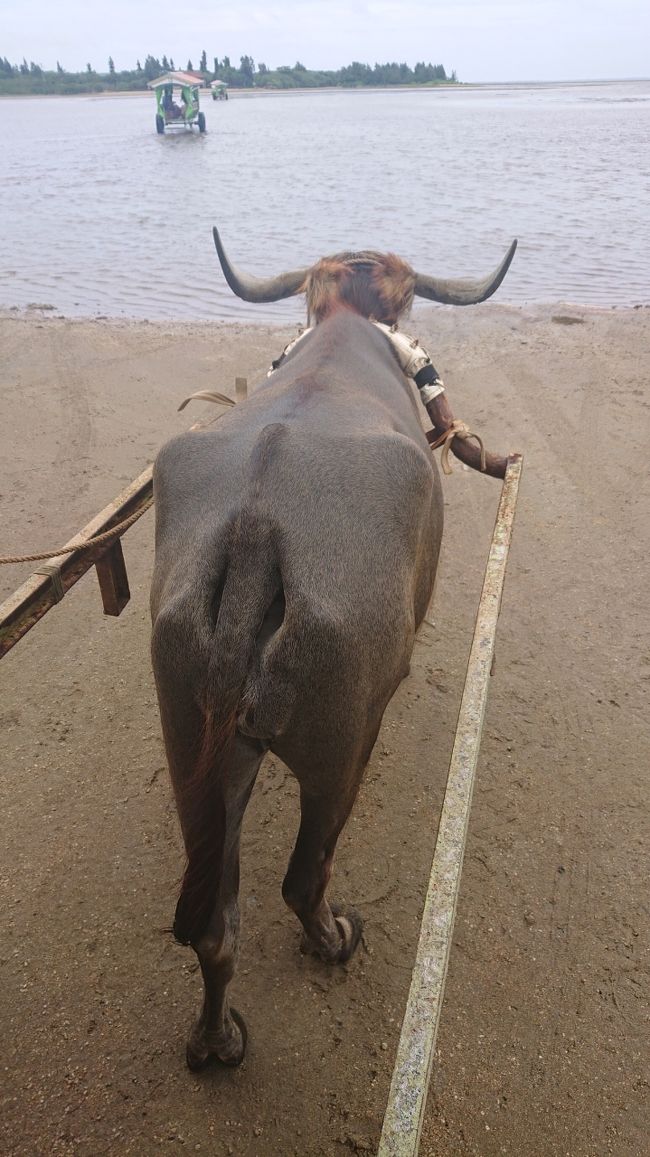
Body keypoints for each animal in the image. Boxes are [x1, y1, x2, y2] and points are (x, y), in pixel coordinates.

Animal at [149, 230, 513, 1069]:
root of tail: (257, 524)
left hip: (194, 747)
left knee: (216, 926)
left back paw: (214, 1040)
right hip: (342, 745)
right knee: (301, 877)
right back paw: (333, 937)